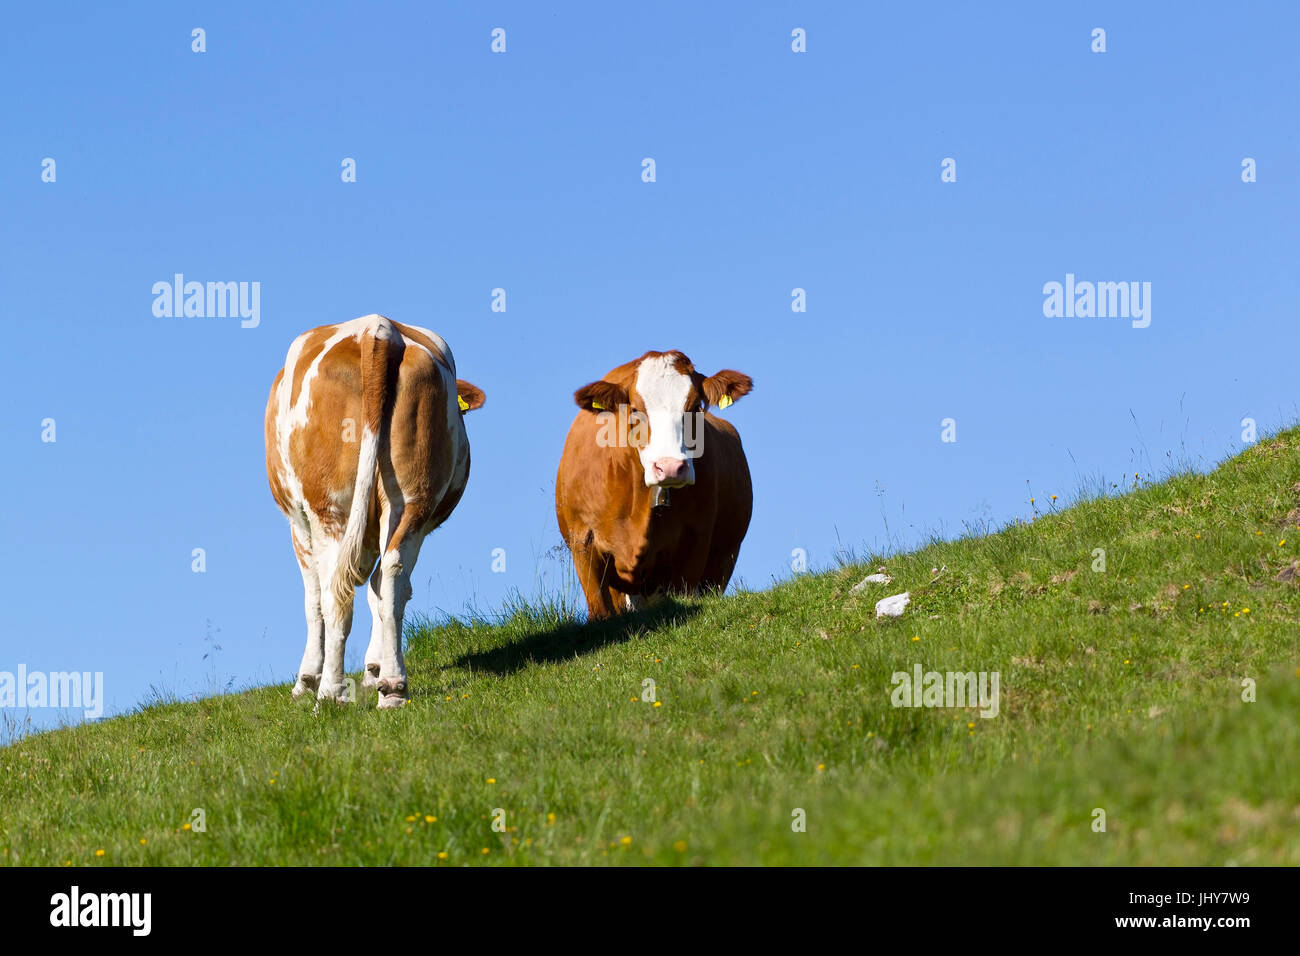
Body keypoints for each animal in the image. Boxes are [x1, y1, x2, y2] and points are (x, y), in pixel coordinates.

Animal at [263, 312, 483, 702]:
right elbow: (382, 592)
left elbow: (313, 600)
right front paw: (374, 669)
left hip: (329, 507)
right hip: (411, 500)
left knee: (336, 593)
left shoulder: (298, 524)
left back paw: (330, 694)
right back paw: (393, 687)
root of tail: (379, 330)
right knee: (391, 579)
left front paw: (306, 680)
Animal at [556, 351, 759, 621]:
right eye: (635, 409)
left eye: (695, 407)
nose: (670, 467)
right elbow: (600, 610)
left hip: (723, 561)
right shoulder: (583, 541)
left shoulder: (695, 542)